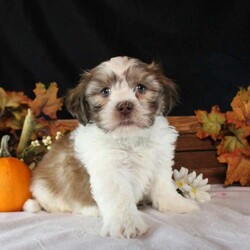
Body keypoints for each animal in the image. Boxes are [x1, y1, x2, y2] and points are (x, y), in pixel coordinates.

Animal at [23, 56, 199, 238]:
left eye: (141, 88)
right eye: (105, 92)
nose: (124, 106)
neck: (130, 138)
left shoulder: (160, 161)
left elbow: (164, 186)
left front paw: (176, 205)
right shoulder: (110, 170)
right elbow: (119, 197)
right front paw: (126, 223)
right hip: (47, 191)